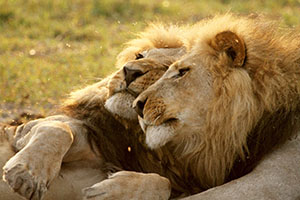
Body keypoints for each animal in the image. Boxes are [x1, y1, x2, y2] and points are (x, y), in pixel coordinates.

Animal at [1, 23, 186, 200]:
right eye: (139, 56)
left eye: (171, 68)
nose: (129, 71)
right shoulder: (20, 130)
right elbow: (60, 129)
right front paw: (26, 174)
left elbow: (165, 183)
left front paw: (109, 193)